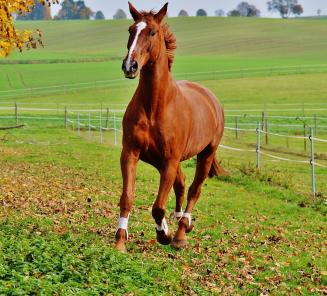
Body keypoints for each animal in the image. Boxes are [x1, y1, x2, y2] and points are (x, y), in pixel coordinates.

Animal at [114, 2, 226, 252]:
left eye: (152, 32)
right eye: (130, 30)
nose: (130, 66)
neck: (155, 107)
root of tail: (211, 99)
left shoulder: (170, 161)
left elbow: (158, 206)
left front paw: (163, 234)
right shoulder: (131, 154)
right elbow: (127, 198)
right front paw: (120, 241)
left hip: (205, 154)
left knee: (194, 189)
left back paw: (181, 232)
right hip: (160, 160)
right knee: (182, 184)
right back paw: (178, 220)